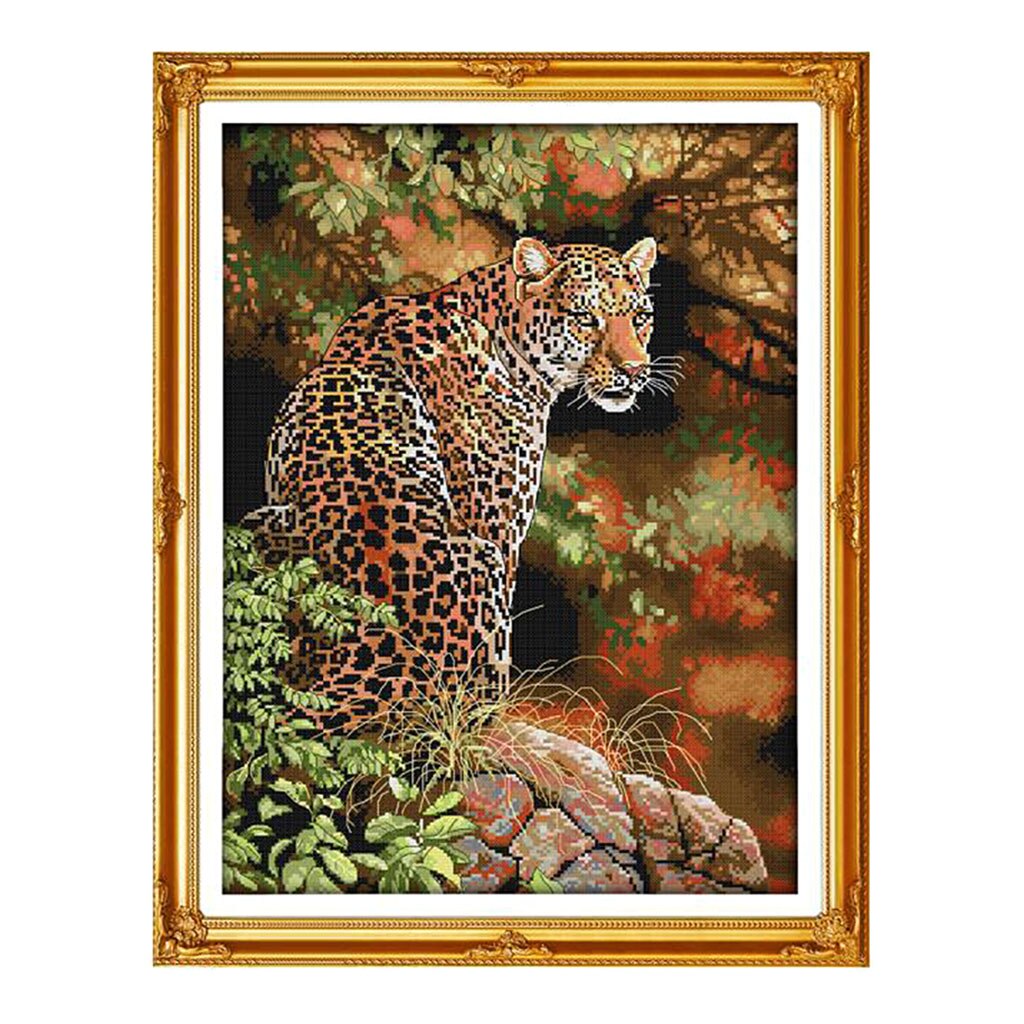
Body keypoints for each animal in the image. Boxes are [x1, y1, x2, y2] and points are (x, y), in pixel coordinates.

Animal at [242, 235, 660, 734]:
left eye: (641, 317)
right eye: (584, 318)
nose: (635, 370)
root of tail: (385, 661)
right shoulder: (500, 531)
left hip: (259, 522)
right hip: (482, 567)